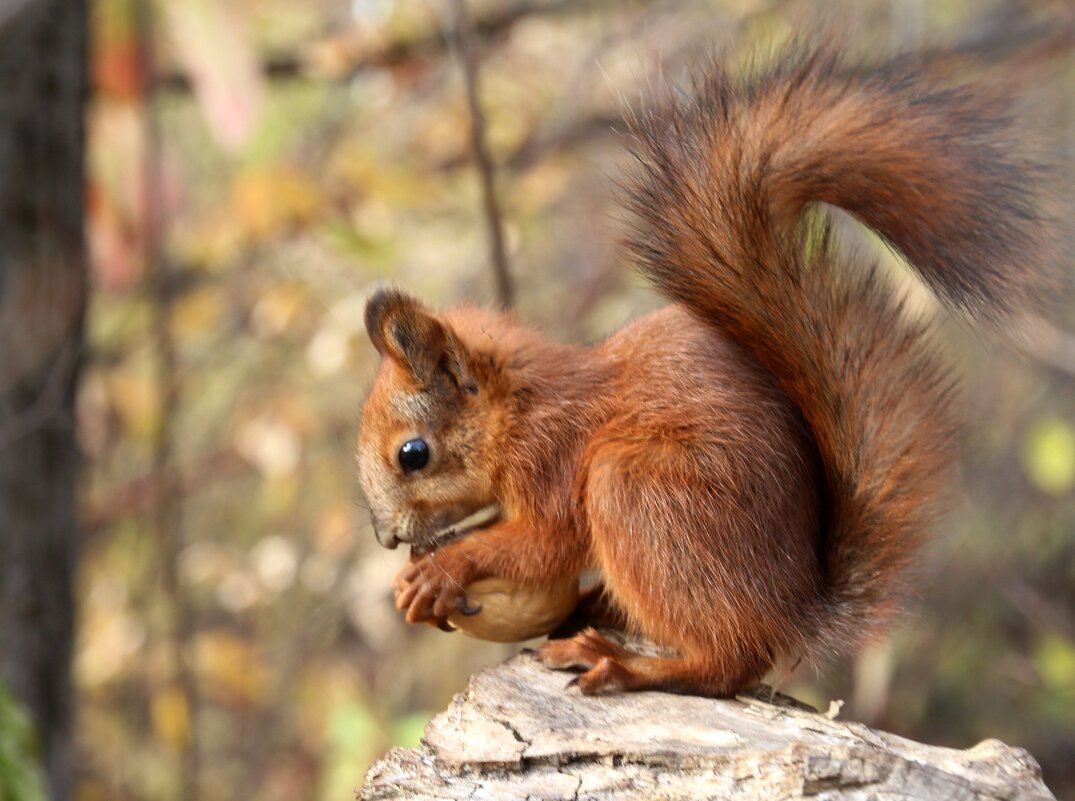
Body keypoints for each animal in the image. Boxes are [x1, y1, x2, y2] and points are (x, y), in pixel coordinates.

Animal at [354, 46, 1057, 692]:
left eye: (413, 454)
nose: (387, 539)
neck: (521, 407)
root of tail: (792, 611)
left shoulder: (554, 461)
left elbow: (544, 544)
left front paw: (444, 568)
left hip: (639, 494)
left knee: (728, 661)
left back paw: (627, 663)